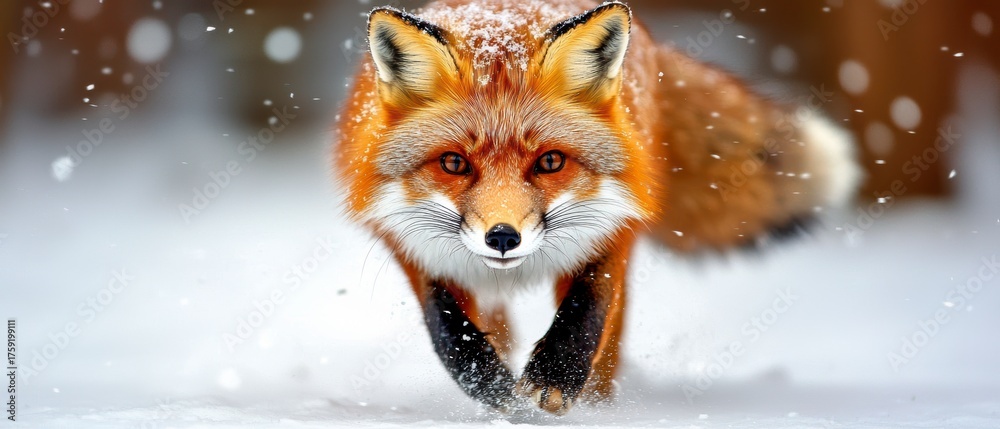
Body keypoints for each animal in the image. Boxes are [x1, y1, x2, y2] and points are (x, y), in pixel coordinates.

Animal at [334, 0, 861, 415]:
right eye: (453, 163)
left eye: (550, 161)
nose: (503, 237)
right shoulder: (410, 245)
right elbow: (448, 331)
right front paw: (493, 390)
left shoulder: (612, 226)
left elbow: (588, 309)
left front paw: (554, 381)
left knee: (606, 343)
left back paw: (599, 404)